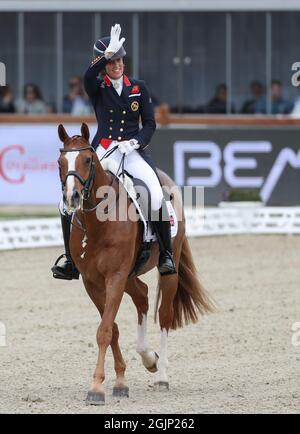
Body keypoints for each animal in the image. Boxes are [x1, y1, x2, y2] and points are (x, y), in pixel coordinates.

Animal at [57, 124, 213, 406]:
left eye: (88, 160)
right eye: (59, 162)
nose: (71, 197)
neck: (99, 222)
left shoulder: (116, 277)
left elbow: (104, 330)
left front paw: (96, 388)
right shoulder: (93, 282)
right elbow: (112, 329)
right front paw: (119, 382)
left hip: (167, 270)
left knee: (165, 314)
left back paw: (161, 376)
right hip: (131, 275)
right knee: (142, 295)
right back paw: (149, 358)